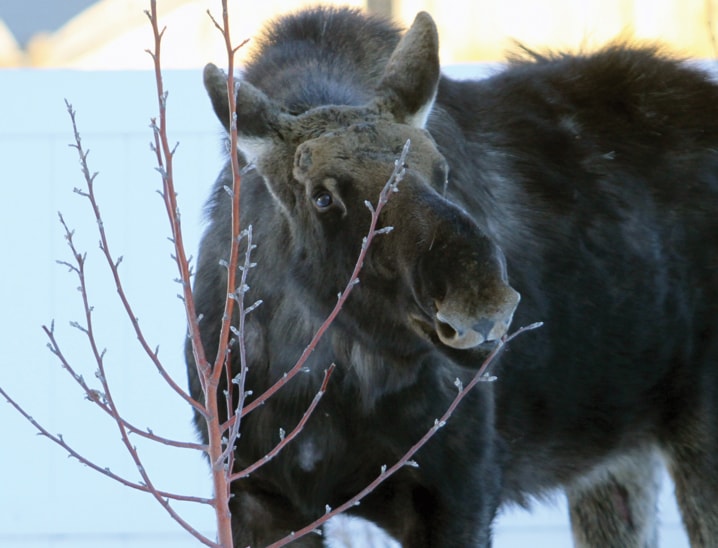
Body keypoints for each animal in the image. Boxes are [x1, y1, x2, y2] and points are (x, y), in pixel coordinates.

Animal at [188, 5, 718, 548]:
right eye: (322, 196)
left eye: (440, 171)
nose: (481, 304)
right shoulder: (255, 494)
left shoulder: (461, 492)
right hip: (615, 453)